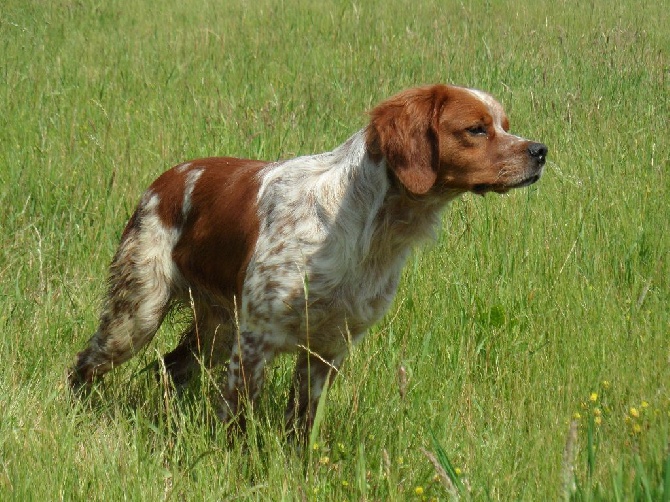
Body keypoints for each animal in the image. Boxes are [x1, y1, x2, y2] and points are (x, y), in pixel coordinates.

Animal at [68, 84, 548, 434]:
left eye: (505, 125)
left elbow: (302, 425)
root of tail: (164, 179)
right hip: (138, 314)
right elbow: (237, 424)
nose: (541, 150)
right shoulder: (256, 340)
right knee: (88, 362)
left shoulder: (328, 348)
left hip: (217, 328)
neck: (365, 226)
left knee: (169, 368)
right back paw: (77, 409)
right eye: (477, 129)